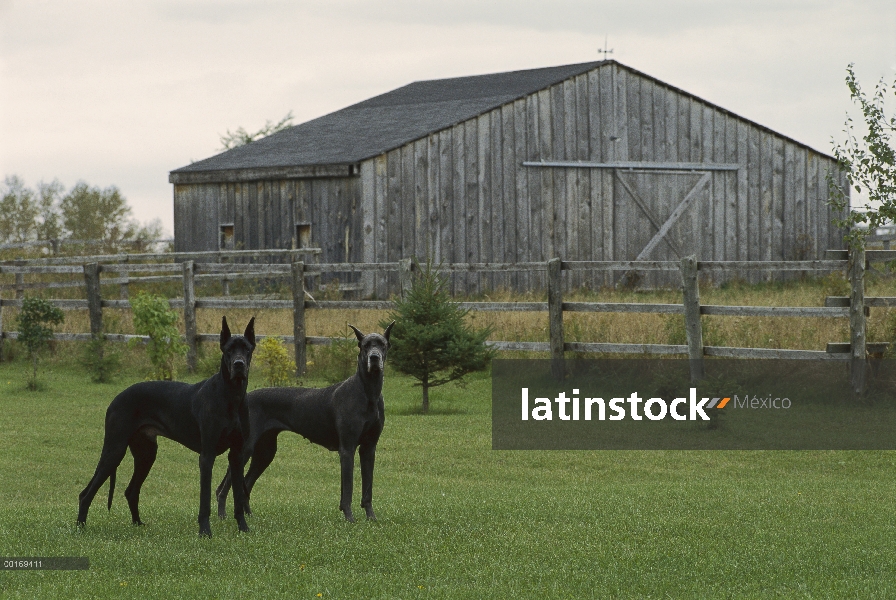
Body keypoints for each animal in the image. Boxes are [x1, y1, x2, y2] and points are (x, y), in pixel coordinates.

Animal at [76, 316, 256, 536]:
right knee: (86, 493)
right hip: (114, 449)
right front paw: (205, 532)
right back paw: (80, 527)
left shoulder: (237, 455)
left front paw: (244, 528)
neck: (231, 395)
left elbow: (238, 496)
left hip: (146, 453)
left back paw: (138, 523)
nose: (239, 364)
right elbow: (204, 500)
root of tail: (116, 398)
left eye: (247, 349)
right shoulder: (207, 455)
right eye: (229, 349)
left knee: (131, 490)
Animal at [216, 322, 392, 524]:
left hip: (265, 452)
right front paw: (349, 518)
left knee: (247, 482)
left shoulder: (369, 448)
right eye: (365, 346)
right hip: (245, 449)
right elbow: (347, 489)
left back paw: (249, 515)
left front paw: (371, 518)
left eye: (382, 345)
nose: (374, 357)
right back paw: (222, 516)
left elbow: (368, 488)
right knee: (222, 487)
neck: (368, 391)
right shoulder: (347, 449)